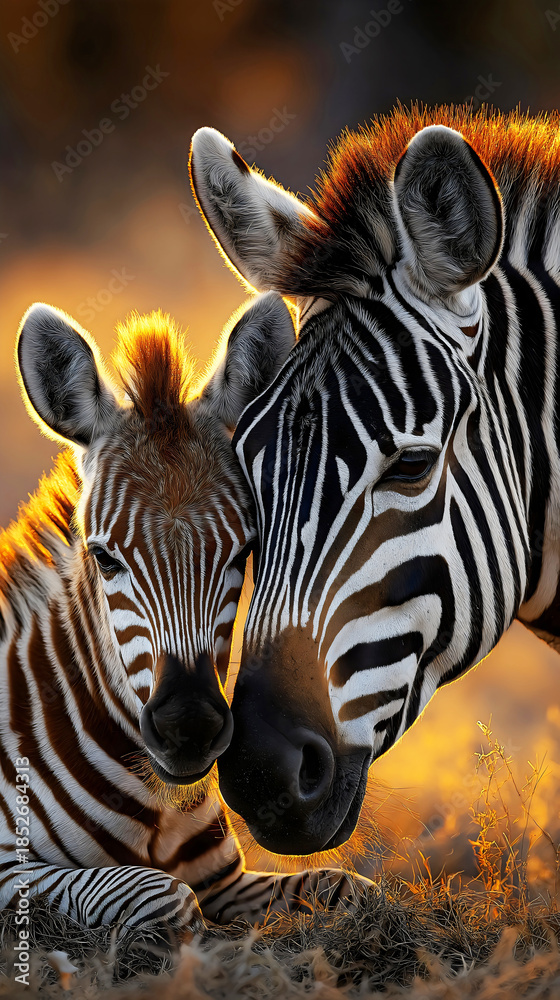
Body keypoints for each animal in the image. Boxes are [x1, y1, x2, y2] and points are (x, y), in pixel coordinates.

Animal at [1, 293, 367, 939]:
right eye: (104, 557)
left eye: (245, 553)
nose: (189, 728)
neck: (156, 802)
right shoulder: (5, 870)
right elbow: (160, 894)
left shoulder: (226, 880)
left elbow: (351, 890)